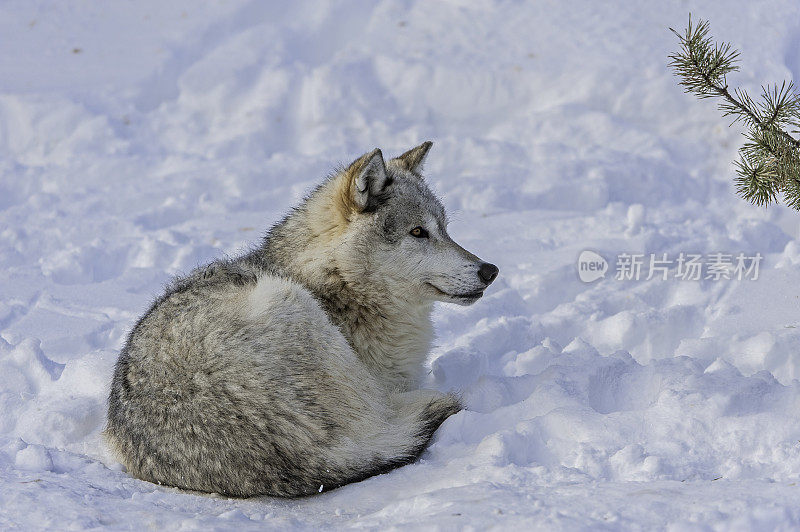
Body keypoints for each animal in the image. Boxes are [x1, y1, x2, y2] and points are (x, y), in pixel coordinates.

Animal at [103, 142, 496, 498]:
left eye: (444, 230)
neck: (335, 285)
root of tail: (305, 460)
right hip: (288, 301)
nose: (490, 270)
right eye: (417, 232)